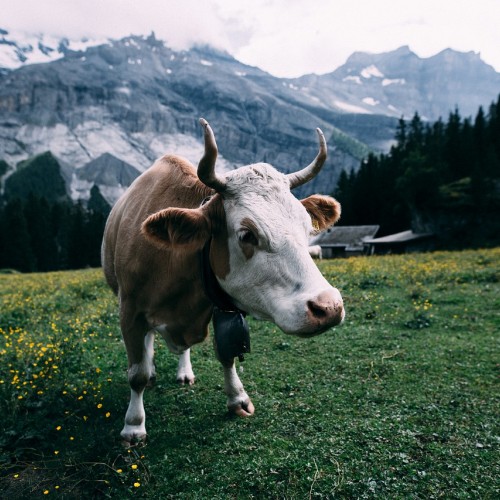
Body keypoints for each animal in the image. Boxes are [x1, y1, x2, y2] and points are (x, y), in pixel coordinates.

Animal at [101, 119, 344, 444]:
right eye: (247, 234)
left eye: (307, 227)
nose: (328, 307)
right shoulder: (129, 311)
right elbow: (136, 373)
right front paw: (133, 425)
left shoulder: (221, 306)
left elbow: (227, 353)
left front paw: (237, 399)